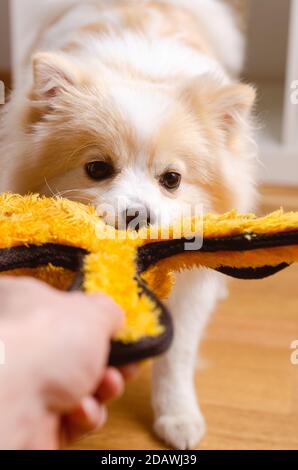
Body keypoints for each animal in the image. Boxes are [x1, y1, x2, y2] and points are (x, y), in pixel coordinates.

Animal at [0, 0, 256, 448]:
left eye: (171, 179)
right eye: (97, 169)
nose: (138, 214)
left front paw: (178, 414)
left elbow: (178, 354)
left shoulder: (189, 292)